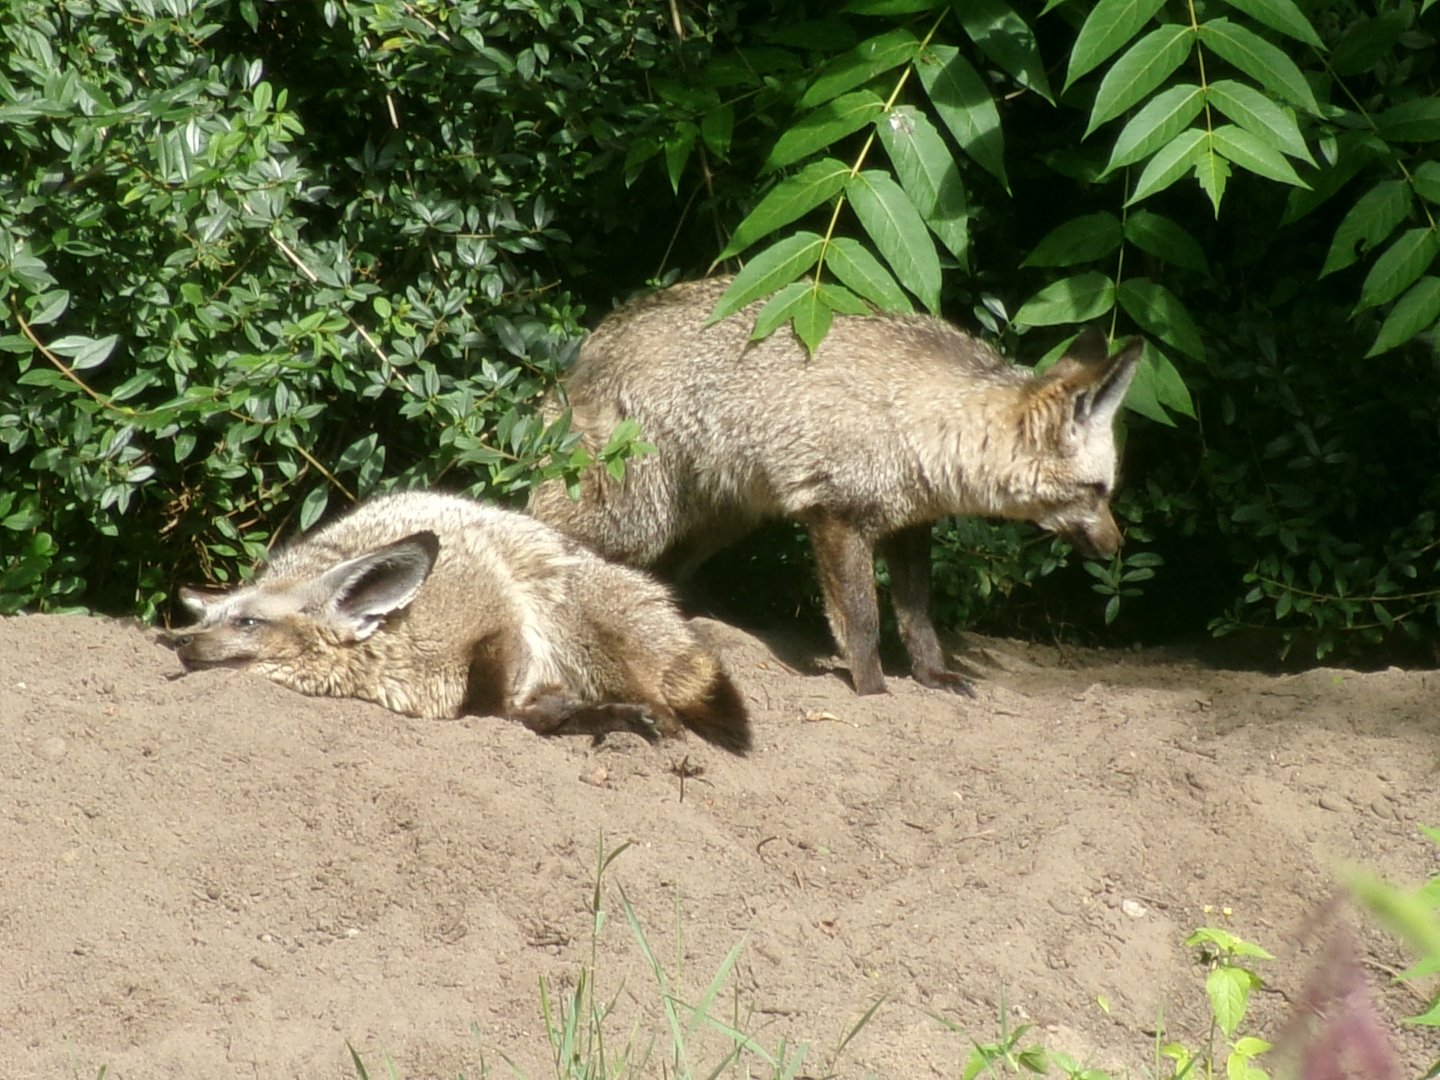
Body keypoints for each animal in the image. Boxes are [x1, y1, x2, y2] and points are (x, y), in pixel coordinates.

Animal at [164, 491, 751, 753]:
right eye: (208, 623)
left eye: (248, 623)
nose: (183, 644)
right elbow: (517, 710)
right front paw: (579, 715)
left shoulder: (500, 613)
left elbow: (503, 706)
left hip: (584, 629)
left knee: (663, 705)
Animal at [529, 276, 1142, 697]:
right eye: (1096, 490)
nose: (1116, 547)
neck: (921, 423)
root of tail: (592, 342)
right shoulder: (835, 515)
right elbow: (863, 622)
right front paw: (872, 690)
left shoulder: (910, 525)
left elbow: (918, 618)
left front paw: (933, 675)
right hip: (637, 517)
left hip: (720, 519)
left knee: (664, 577)